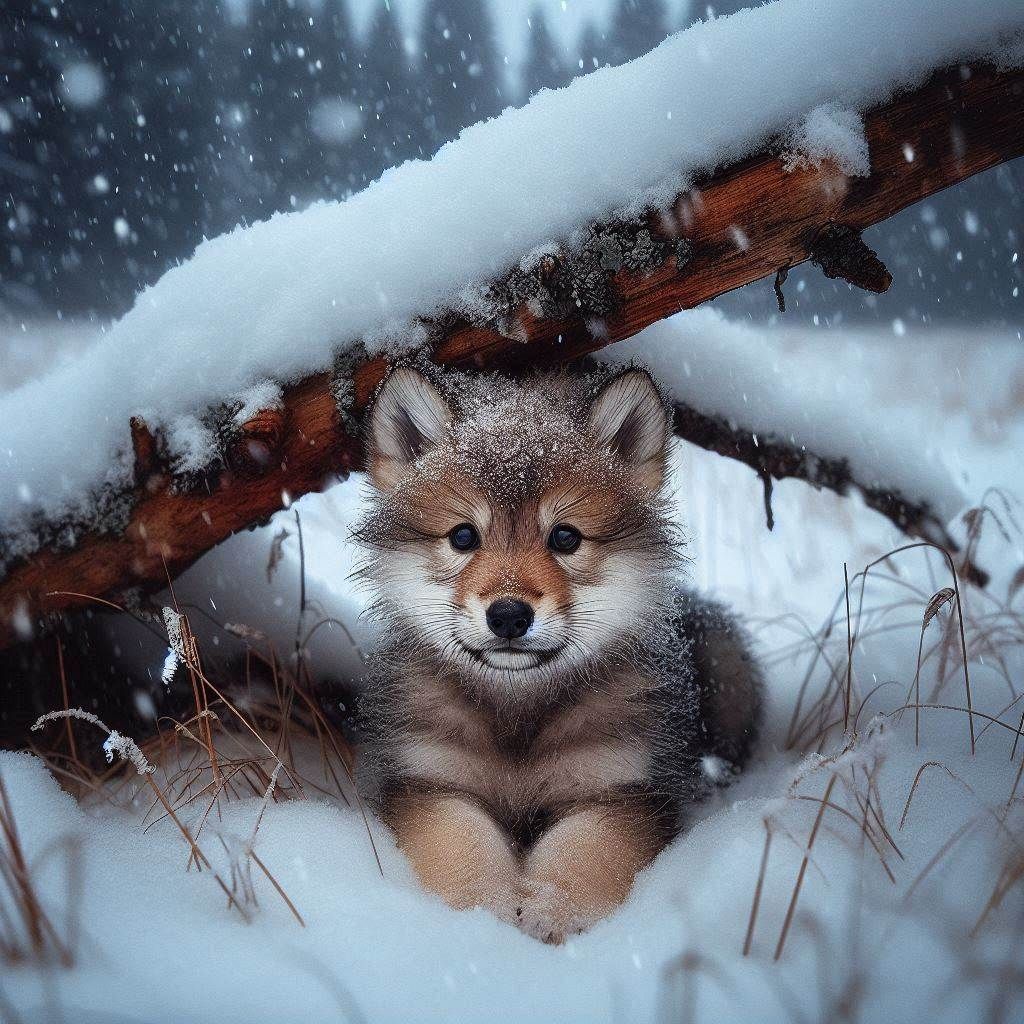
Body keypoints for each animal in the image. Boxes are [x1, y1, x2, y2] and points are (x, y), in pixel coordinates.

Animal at [353, 364, 762, 943]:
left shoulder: (618, 791)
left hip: (729, 666)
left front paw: (552, 908)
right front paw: (488, 909)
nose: (508, 615)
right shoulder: (430, 782)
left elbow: (583, 853)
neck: (519, 716)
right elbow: (462, 845)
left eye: (565, 537)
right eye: (463, 536)